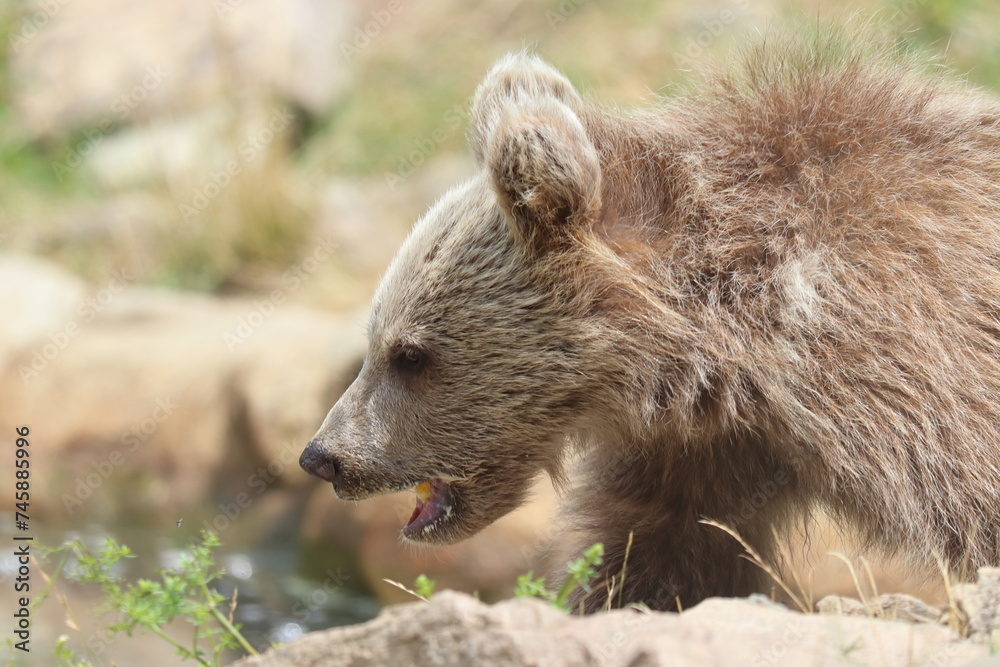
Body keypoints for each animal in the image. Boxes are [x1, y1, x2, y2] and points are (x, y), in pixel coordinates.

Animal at [300, 37, 1000, 613]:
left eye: (410, 354)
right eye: (377, 342)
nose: (323, 457)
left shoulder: (915, 352)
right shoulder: (702, 453)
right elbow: (655, 556)